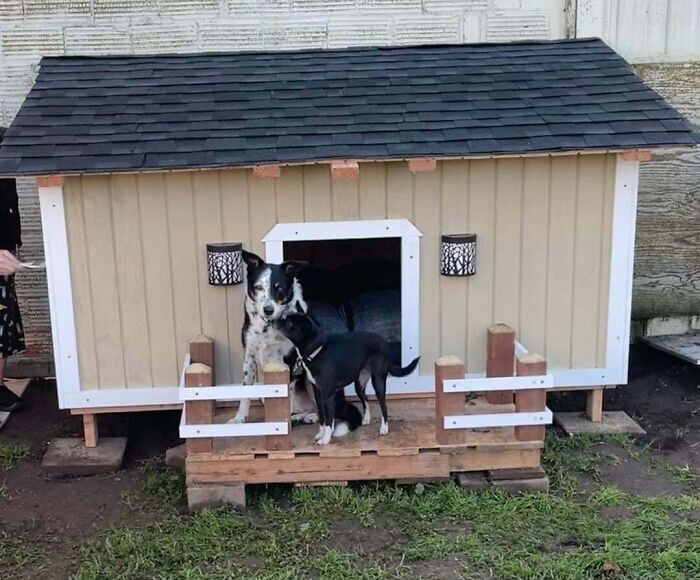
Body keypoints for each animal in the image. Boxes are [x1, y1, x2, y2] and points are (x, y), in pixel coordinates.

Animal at [230, 251, 318, 424]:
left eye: (280, 288)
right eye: (258, 287)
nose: (268, 309)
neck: (269, 325)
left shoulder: (289, 361)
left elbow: (286, 394)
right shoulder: (249, 358)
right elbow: (245, 393)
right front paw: (239, 418)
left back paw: (312, 416)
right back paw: (298, 416)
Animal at [274, 312, 418, 444]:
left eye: (289, 323)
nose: (273, 321)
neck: (317, 351)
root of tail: (384, 343)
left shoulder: (328, 395)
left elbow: (329, 420)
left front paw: (325, 439)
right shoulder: (318, 393)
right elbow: (322, 417)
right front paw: (320, 434)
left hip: (378, 382)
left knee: (384, 406)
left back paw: (384, 428)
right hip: (359, 384)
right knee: (365, 400)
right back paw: (366, 419)